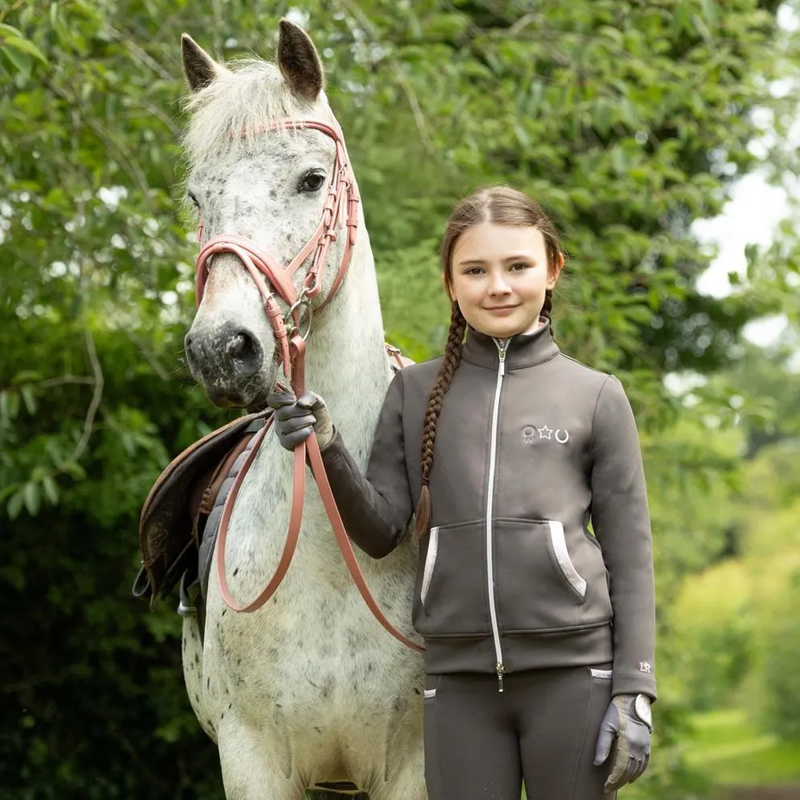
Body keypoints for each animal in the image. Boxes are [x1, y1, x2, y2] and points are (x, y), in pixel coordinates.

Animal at [176, 19, 426, 800]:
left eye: (312, 180)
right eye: (196, 198)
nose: (221, 348)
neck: (330, 550)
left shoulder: (413, 765)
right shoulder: (251, 758)